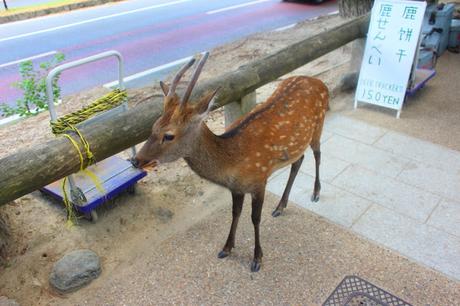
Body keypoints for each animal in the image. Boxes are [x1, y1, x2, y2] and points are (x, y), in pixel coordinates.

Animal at [131, 52, 328, 272]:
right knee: (299, 160)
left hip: (318, 126)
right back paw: (280, 206)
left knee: (318, 154)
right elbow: (235, 213)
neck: (232, 161)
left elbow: (255, 218)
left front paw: (257, 258)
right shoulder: (237, 188)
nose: (135, 160)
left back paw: (315, 192)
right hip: (297, 144)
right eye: (153, 126)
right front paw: (226, 248)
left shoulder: (259, 179)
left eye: (169, 135)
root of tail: (320, 83)